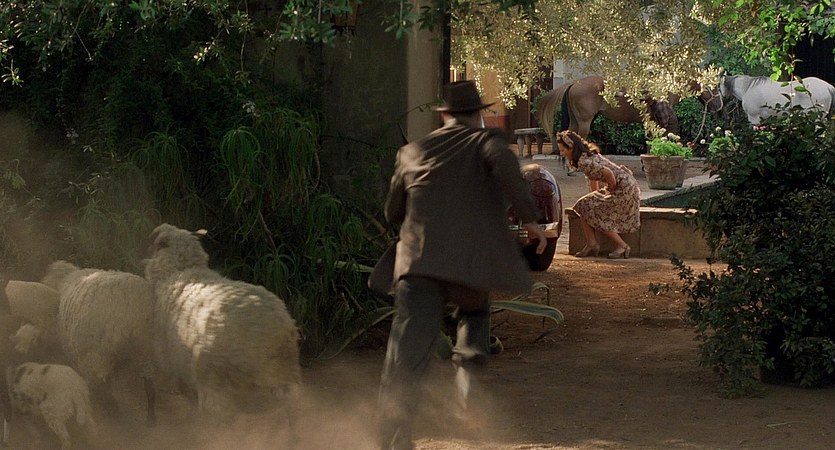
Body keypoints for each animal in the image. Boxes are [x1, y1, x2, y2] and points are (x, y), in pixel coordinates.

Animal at [39, 261, 157, 426]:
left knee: (98, 386)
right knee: (149, 382)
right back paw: (150, 418)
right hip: (145, 347)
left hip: (98, 354)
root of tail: (129, 308)